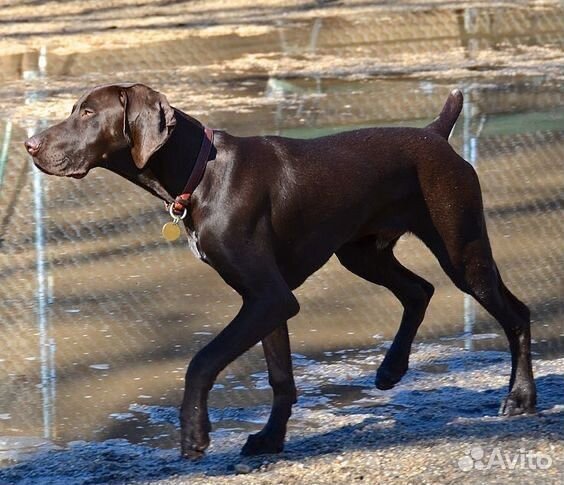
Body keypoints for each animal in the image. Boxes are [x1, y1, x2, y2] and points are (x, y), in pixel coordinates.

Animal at [24, 84, 536, 458]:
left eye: (89, 113)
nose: (30, 145)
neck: (202, 173)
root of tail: (434, 133)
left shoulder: (268, 299)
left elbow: (202, 360)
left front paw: (194, 432)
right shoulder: (268, 302)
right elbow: (280, 379)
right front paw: (271, 439)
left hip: (463, 253)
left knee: (516, 314)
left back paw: (520, 398)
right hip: (361, 254)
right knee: (419, 290)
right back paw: (391, 369)